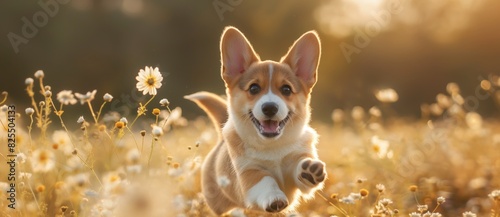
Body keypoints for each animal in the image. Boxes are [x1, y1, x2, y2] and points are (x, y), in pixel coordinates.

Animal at [186, 26, 326, 214]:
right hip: (217, 204)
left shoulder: (298, 156)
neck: (272, 146)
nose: (270, 108)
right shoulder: (248, 171)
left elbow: (300, 165)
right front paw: (275, 198)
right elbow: (265, 180)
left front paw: (310, 170)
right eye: (254, 88)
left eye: (286, 90)